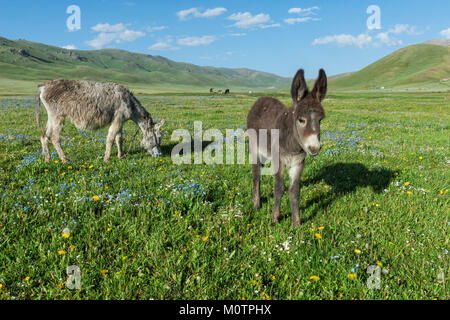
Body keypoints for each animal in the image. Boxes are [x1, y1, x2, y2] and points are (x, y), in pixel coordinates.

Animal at [248, 69, 326, 226]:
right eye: (301, 120)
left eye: (320, 120)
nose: (314, 148)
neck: (293, 145)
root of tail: (261, 99)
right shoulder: (279, 161)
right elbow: (279, 188)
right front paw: (275, 219)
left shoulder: (298, 162)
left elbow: (294, 191)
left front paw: (296, 223)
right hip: (255, 148)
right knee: (256, 175)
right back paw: (257, 204)